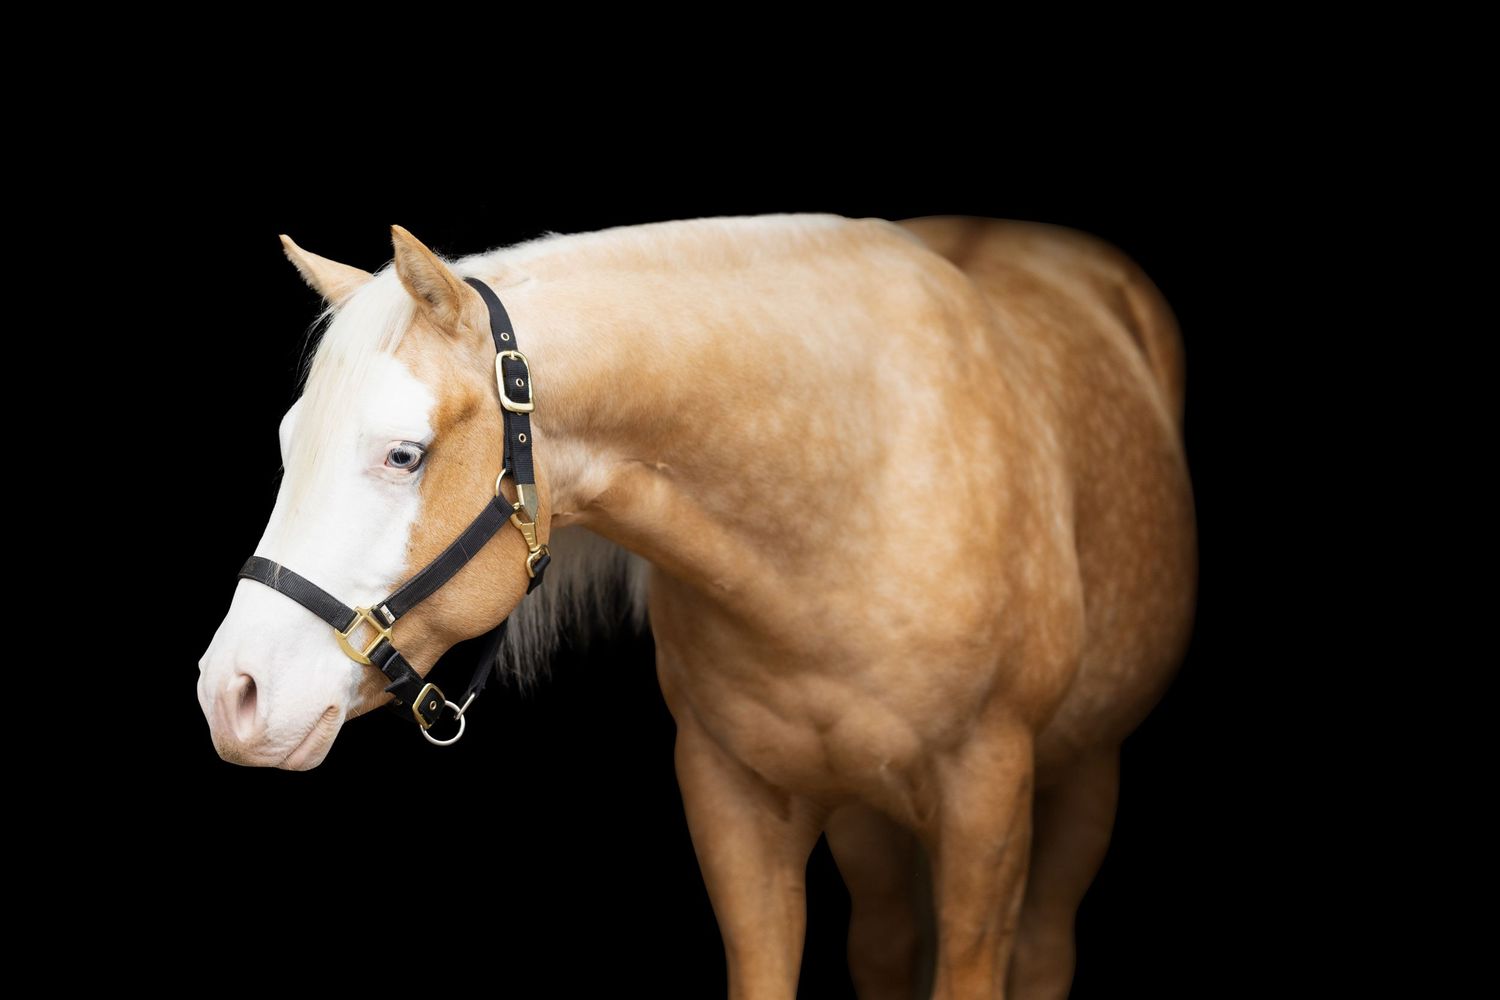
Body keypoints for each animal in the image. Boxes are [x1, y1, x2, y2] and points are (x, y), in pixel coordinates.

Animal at [197, 214, 1196, 999]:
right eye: (289, 442)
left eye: (402, 454)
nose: (230, 694)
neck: (850, 497)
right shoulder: (730, 803)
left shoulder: (988, 807)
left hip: (1084, 779)